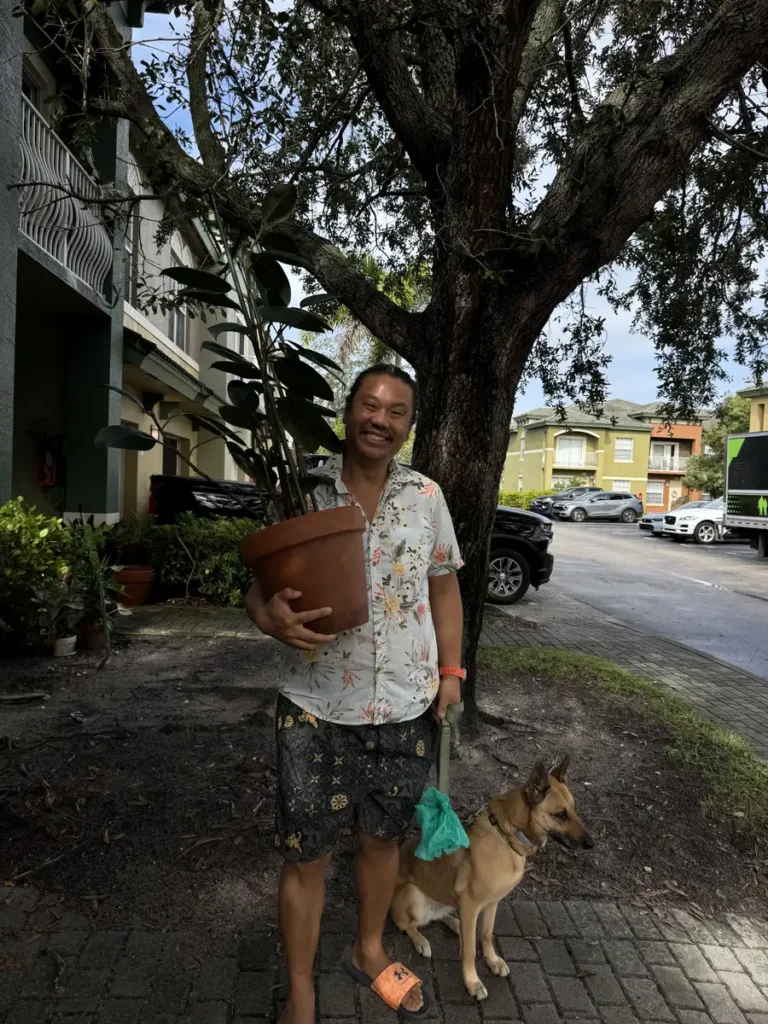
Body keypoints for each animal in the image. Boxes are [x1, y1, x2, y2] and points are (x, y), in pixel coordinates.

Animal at [390, 756, 593, 1001]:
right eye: (560, 814)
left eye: (573, 809)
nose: (591, 843)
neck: (507, 836)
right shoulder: (471, 905)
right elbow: (469, 950)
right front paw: (472, 982)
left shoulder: (492, 903)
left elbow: (486, 935)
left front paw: (492, 961)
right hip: (414, 896)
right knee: (407, 924)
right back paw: (421, 940)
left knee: (438, 916)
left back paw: (454, 923)